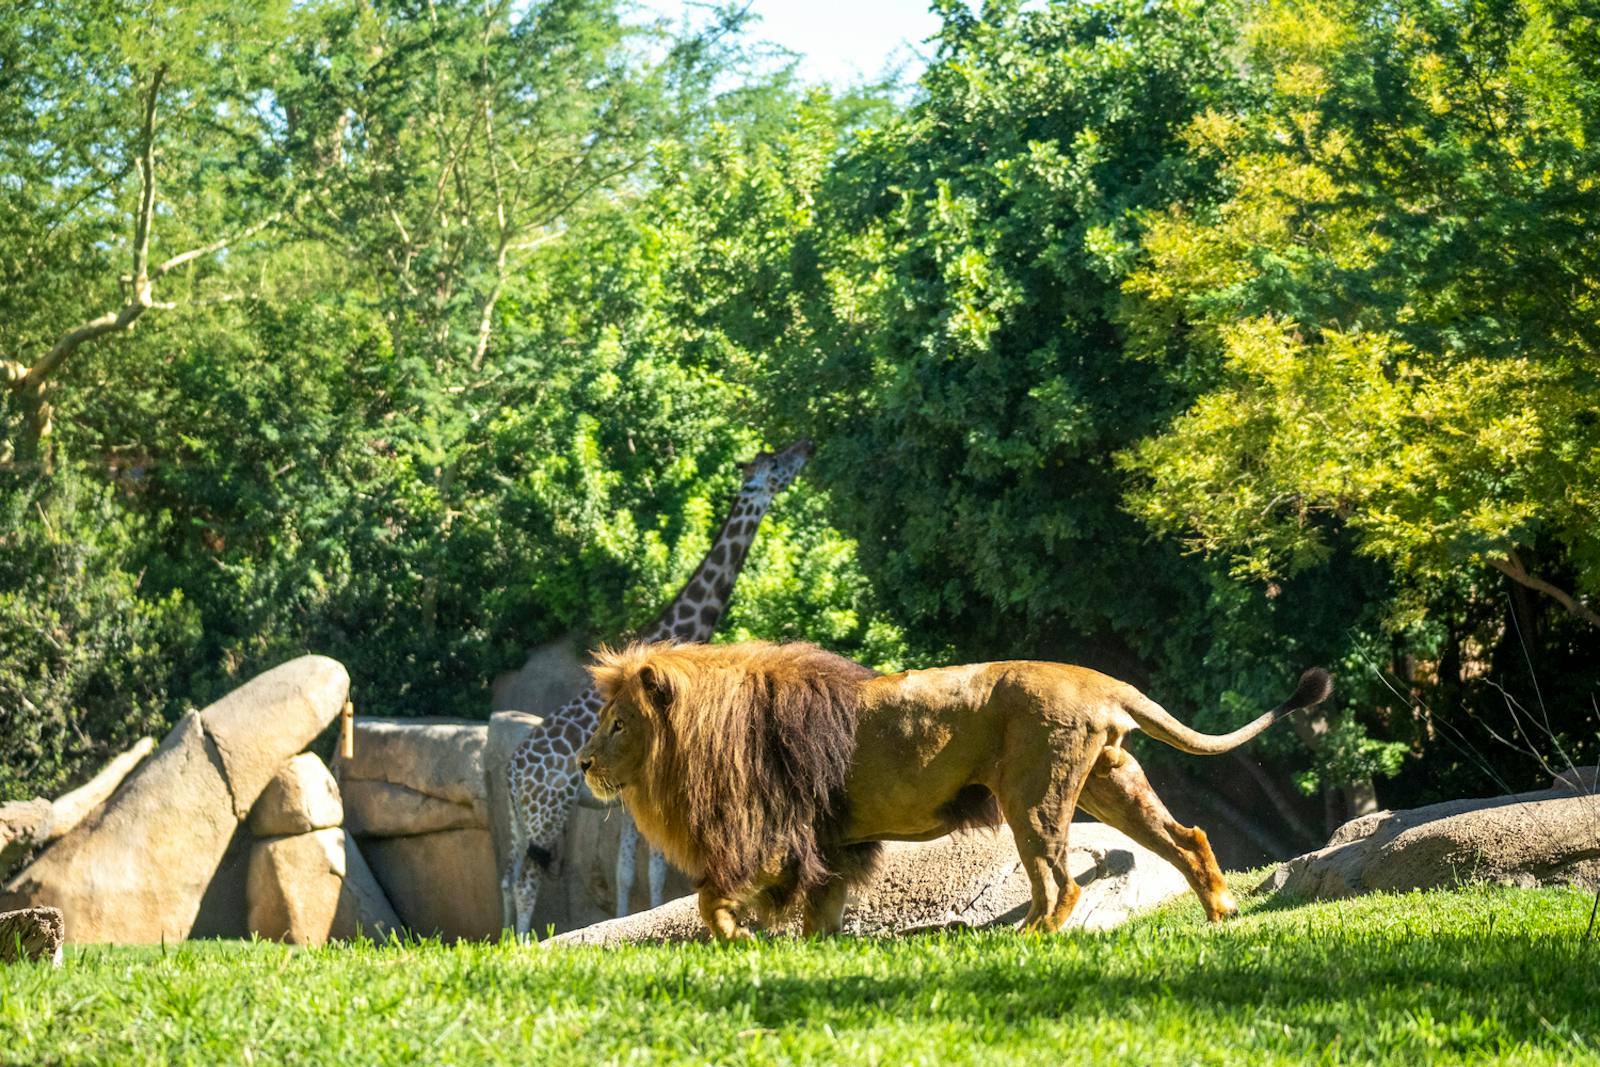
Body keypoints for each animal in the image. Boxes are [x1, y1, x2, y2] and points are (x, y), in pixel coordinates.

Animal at [577, 640, 1331, 939]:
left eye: (616, 723)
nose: (582, 762)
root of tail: (1098, 679)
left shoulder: (772, 832)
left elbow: (713, 896)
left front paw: (738, 939)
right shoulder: (830, 843)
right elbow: (820, 907)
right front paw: (811, 948)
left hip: (1033, 795)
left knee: (1063, 881)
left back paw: (1033, 936)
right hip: (1109, 782)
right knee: (1185, 837)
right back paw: (1221, 909)